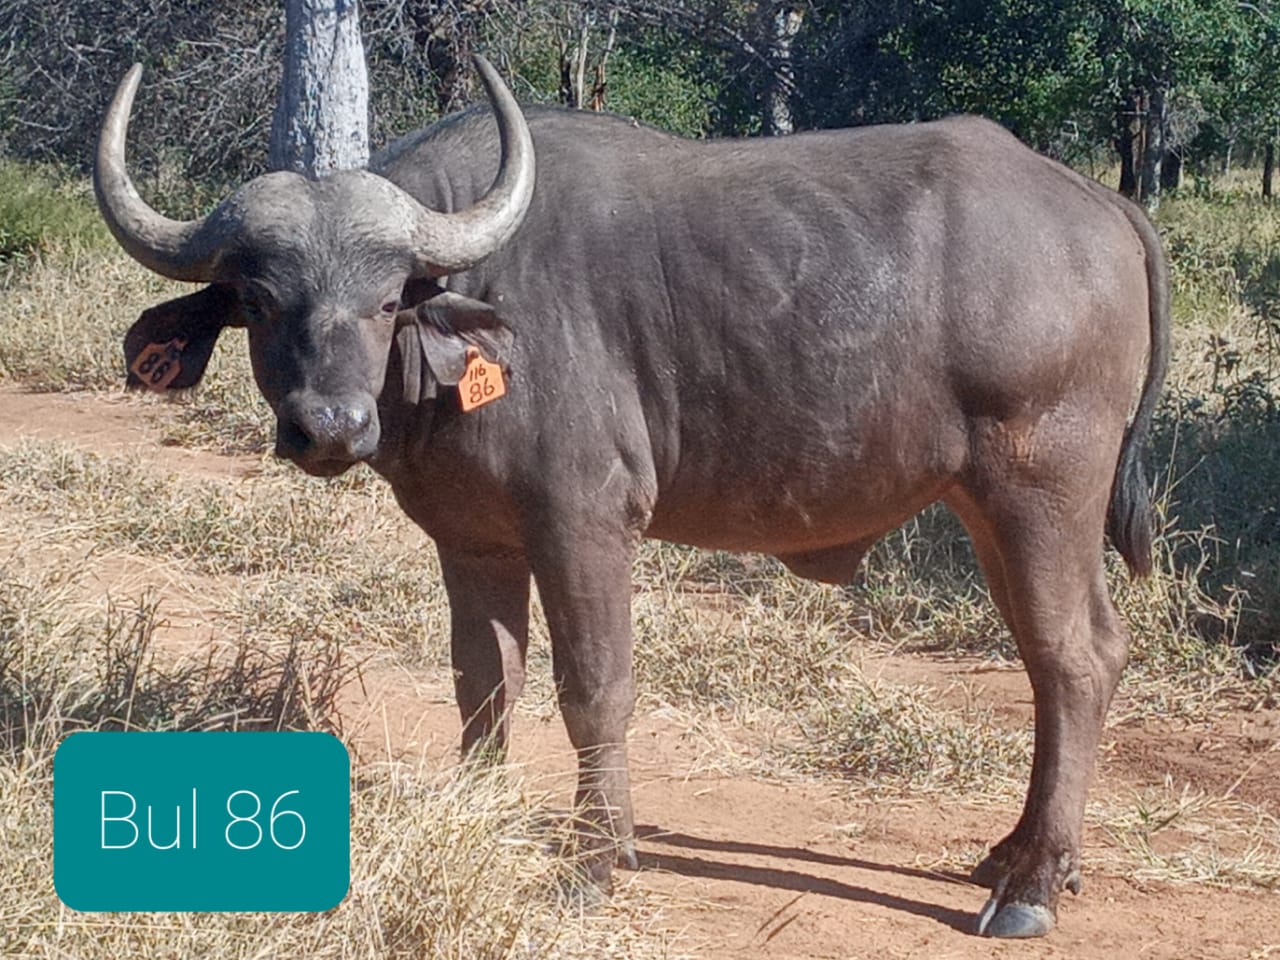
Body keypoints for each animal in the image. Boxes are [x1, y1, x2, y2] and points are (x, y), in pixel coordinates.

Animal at [95, 56, 1169, 938]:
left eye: (387, 297)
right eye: (260, 300)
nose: (328, 427)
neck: (479, 313)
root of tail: (1095, 202)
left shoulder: (584, 526)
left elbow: (593, 687)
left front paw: (597, 857)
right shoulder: (471, 540)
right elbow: (486, 680)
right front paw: (477, 807)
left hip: (1040, 489)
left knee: (1073, 659)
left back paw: (1031, 886)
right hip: (987, 507)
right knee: (1073, 653)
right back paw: (1018, 856)